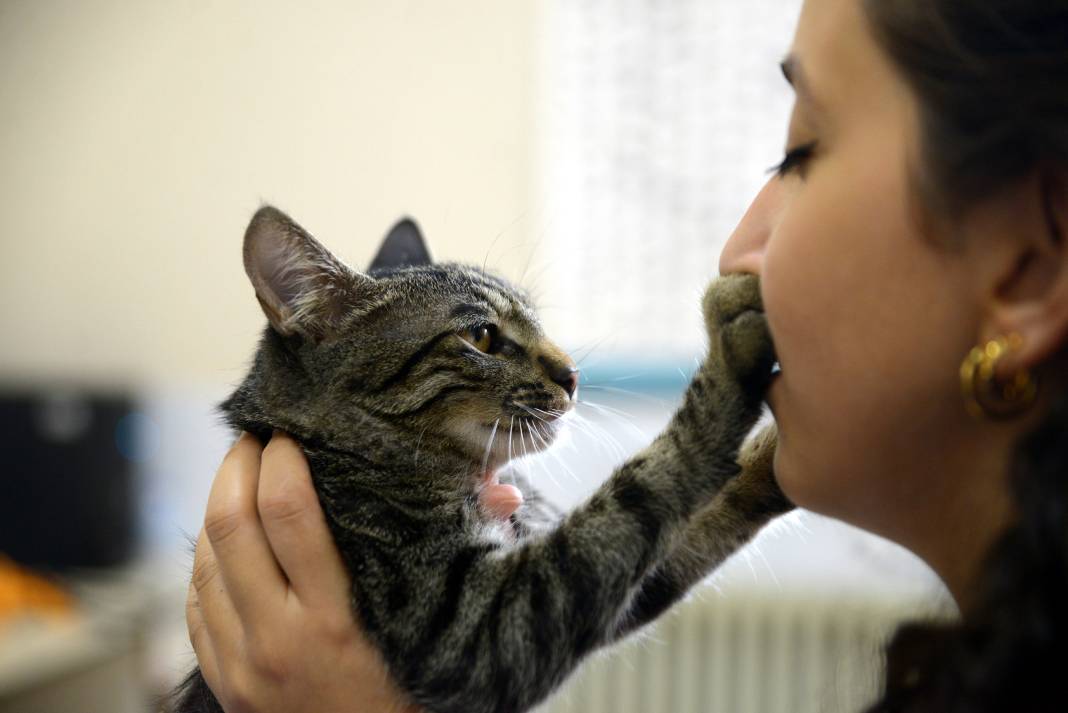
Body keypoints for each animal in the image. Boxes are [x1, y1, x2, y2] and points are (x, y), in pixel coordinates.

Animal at [175, 206, 790, 713]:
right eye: (484, 336)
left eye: (539, 321)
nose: (573, 375)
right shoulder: (470, 625)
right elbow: (639, 492)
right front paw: (730, 360)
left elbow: (691, 527)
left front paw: (774, 462)